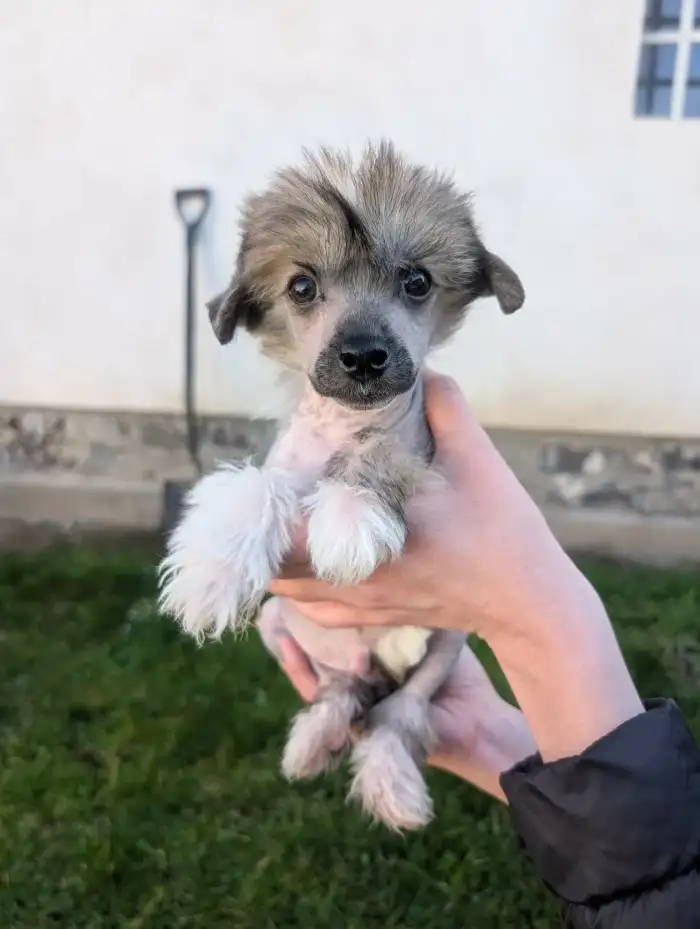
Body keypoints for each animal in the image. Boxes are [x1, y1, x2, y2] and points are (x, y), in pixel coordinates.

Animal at [158, 140, 524, 830]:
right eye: (302, 286)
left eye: (417, 281)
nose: (361, 357)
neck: (346, 427)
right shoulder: (286, 464)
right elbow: (259, 487)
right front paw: (213, 574)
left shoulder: (422, 459)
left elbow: (381, 457)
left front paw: (352, 515)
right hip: (278, 621)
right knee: (342, 690)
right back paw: (315, 738)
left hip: (449, 643)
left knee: (397, 713)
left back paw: (387, 780)